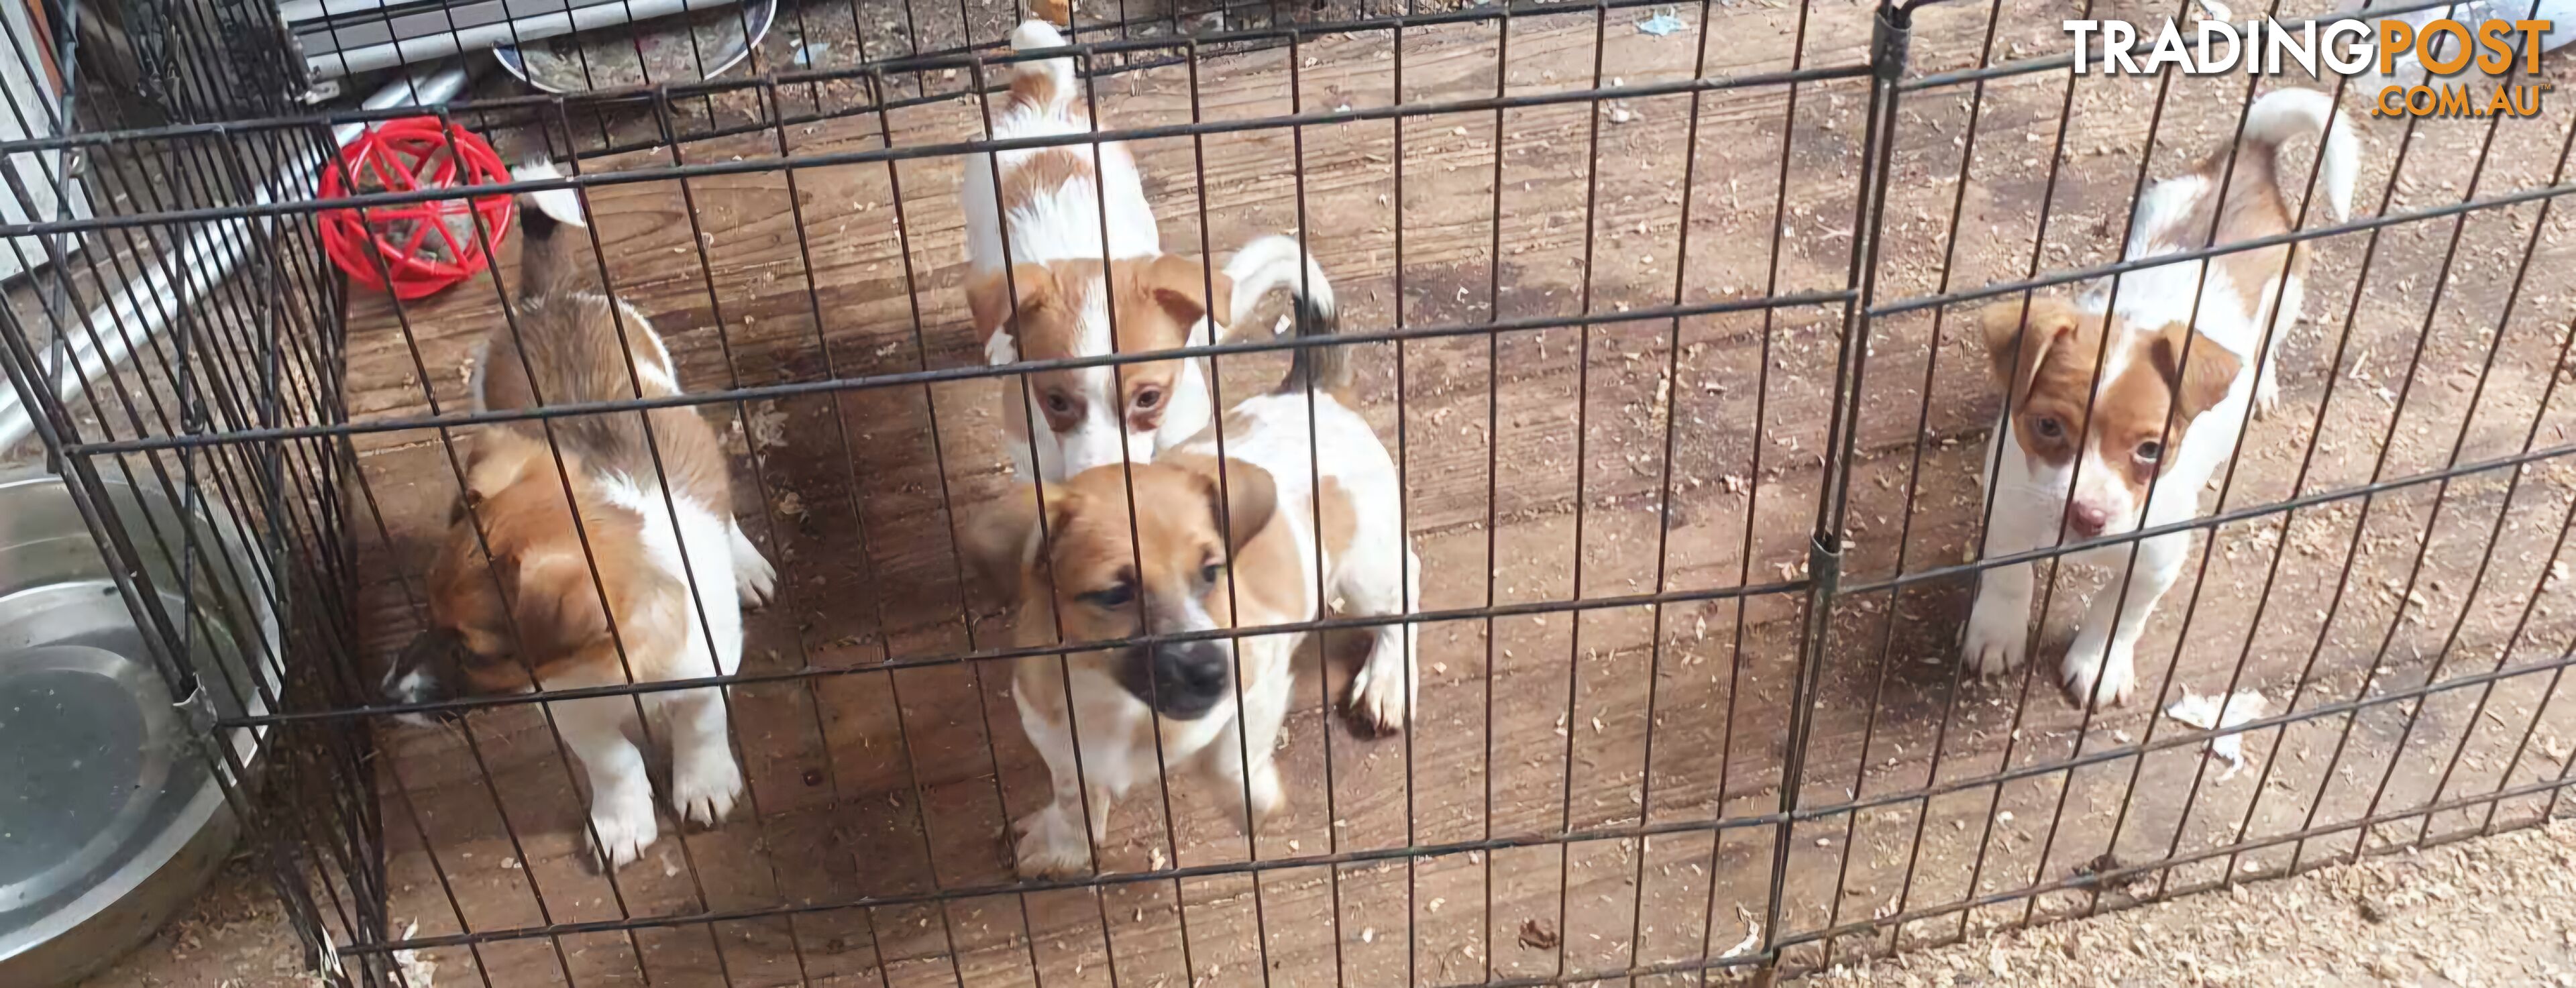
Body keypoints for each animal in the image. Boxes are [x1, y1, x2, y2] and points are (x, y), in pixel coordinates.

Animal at [1968, 89, 2359, 710]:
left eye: (2151, 449)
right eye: (2048, 427)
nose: (2087, 516)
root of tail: (2245, 160)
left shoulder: (2155, 560)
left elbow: (2119, 612)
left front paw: (2099, 662)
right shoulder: (2006, 510)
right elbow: (2008, 579)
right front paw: (1995, 635)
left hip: (2288, 293)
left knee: (2269, 343)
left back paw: (2262, 385)